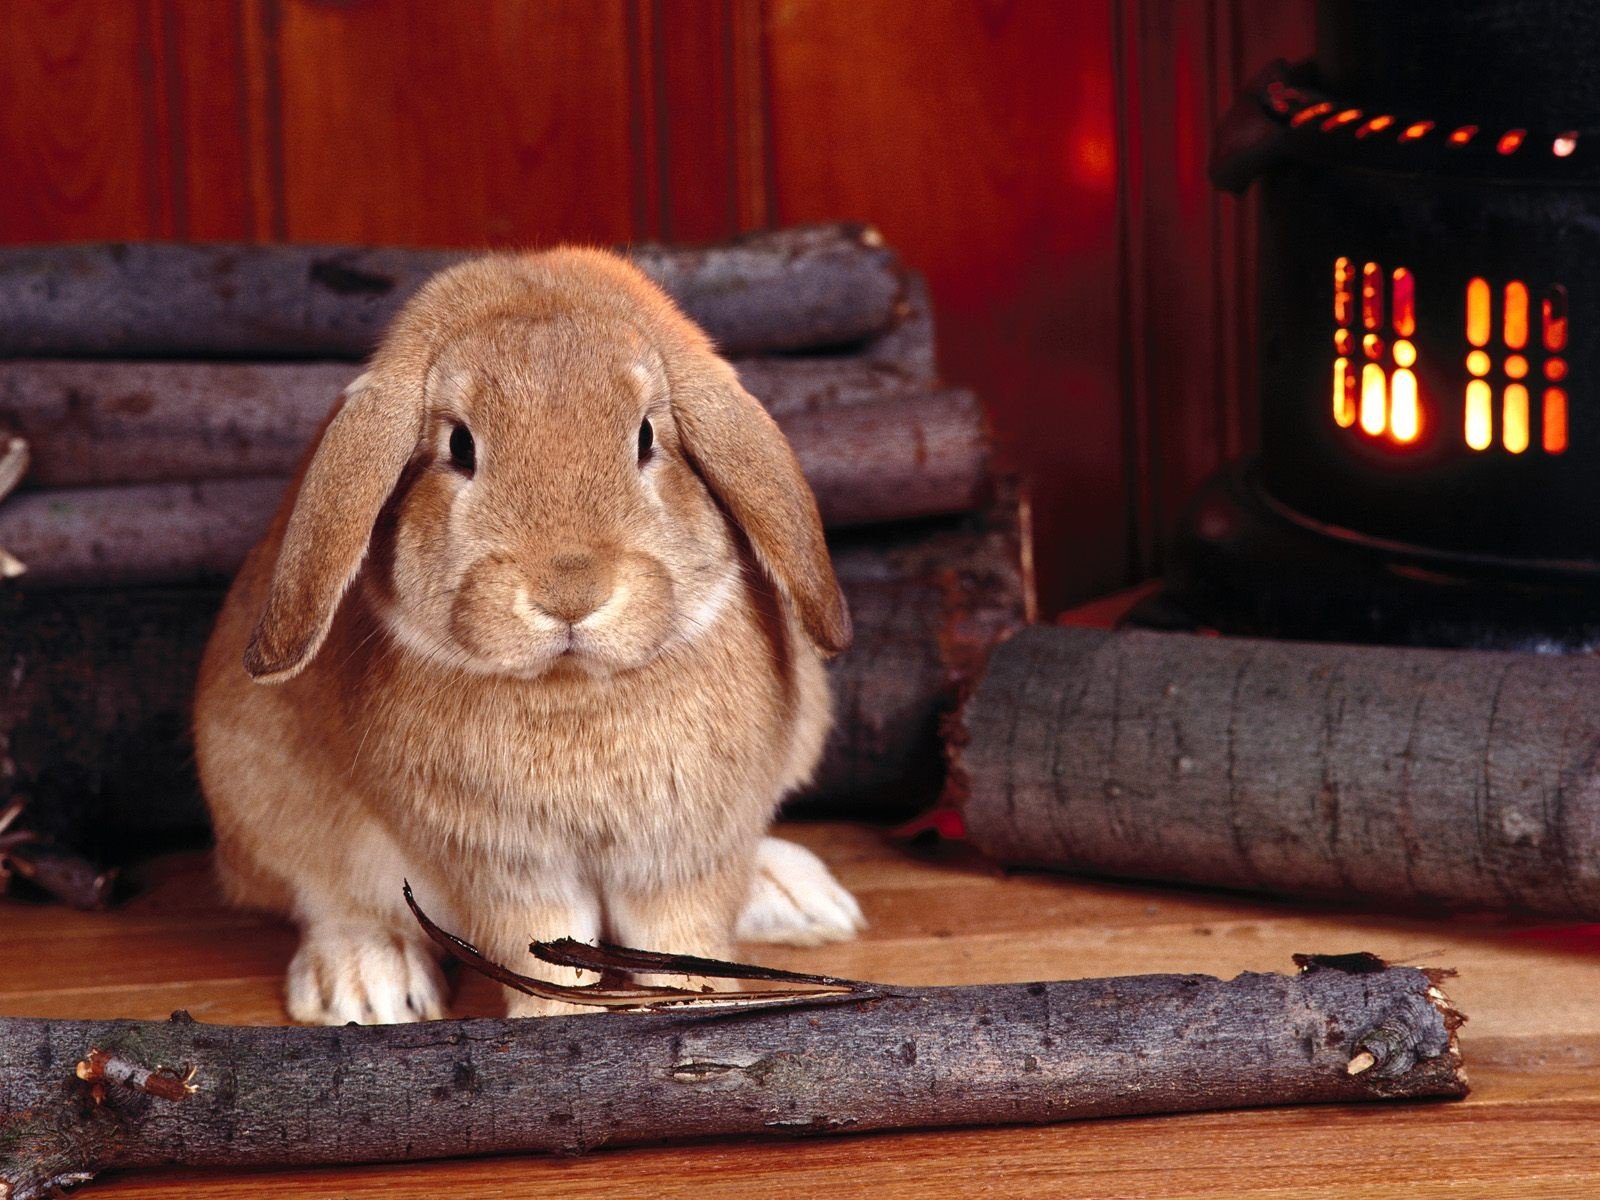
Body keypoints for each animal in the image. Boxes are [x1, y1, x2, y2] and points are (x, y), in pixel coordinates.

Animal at [193, 246, 865, 1025]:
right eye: (459, 445)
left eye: (647, 437)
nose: (570, 592)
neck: (573, 689)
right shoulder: (504, 866)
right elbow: (541, 951)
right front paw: (558, 1023)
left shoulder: (686, 852)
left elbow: (682, 936)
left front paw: (701, 1009)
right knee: (326, 898)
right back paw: (367, 984)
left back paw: (800, 898)